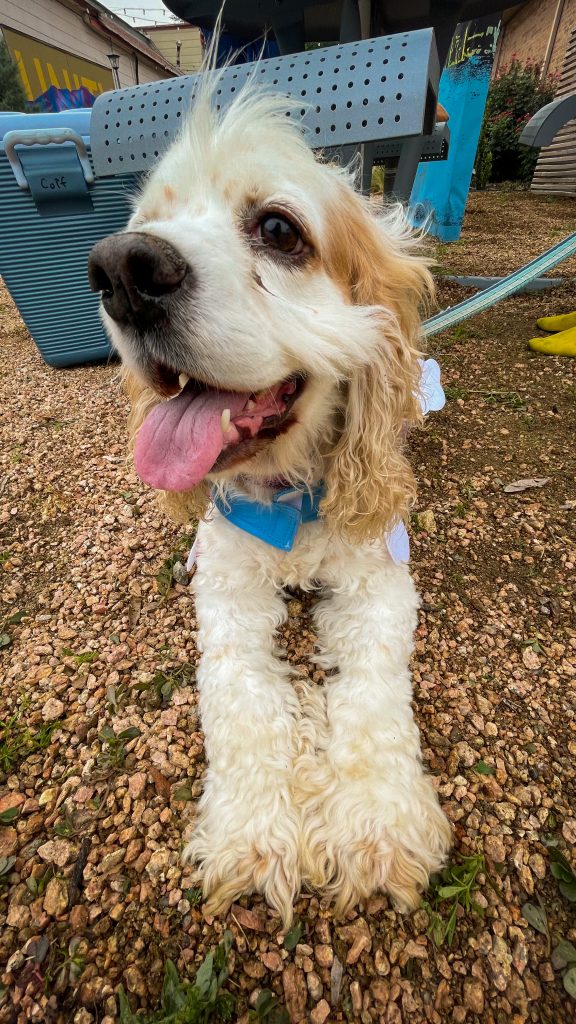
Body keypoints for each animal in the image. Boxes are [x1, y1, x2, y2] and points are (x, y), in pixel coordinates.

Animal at [87, 81, 450, 929]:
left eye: (279, 229)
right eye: (145, 222)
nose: (121, 269)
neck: (290, 498)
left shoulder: (381, 586)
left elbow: (375, 696)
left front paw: (378, 827)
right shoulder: (228, 602)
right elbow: (242, 702)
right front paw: (256, 837)